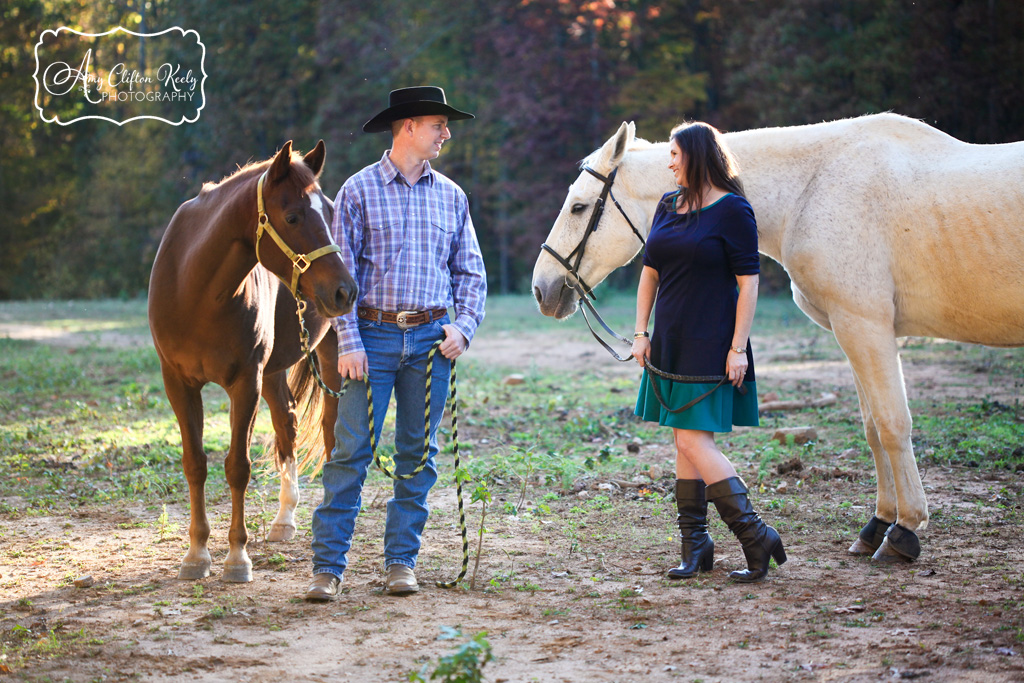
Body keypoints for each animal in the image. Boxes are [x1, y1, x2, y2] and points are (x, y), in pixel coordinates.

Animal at [148, 141, 356, 585]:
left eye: (331, 212)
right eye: (292, 216)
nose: (345, 291)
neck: (197, 292)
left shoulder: (245, 382)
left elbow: (237, 467)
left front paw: (236, 557)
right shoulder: (178, 383)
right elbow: (195, 463)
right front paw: (196, 554)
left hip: (331, 357)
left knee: (330, 430)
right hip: (275, 372)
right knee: (286, 424)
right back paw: (284, 520)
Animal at [536, 116, 1024, 561]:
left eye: (579, 207)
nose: (542, 289)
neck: (812, 188)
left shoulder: (865, 326)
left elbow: (892, 424)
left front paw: (904, 533)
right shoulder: (858, 331)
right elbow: (872, 428)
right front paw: (877, 526)